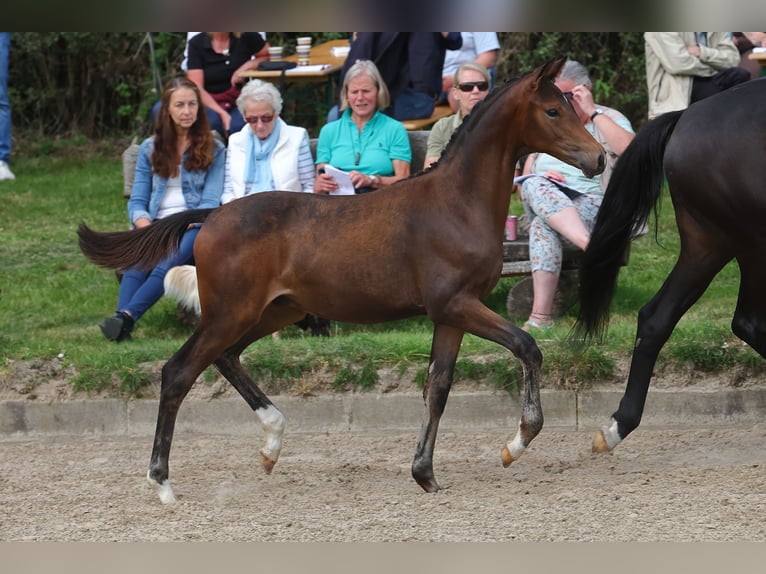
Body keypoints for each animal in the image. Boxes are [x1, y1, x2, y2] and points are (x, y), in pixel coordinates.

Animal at [78, 58, 608, 506]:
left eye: (569, 104)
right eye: (553, 109)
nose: (599, 159)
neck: (457, 202)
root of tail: (211, 217)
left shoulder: (451, 314)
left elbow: (438, 387)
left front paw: (425, 474)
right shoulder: (457, 304)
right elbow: (527, 347)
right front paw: (515, 444)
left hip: (275, 310)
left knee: (226, 358)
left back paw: (271, 444)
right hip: (232, 312)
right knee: (178, 373)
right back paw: (163, 483)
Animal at [576, 77, 766, 454]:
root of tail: (685, 117)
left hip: (709, 243)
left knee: (656, 318)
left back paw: (620, 423)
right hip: (751, 239)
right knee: (748, 321)